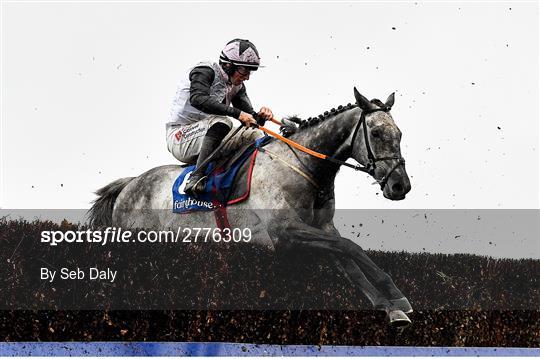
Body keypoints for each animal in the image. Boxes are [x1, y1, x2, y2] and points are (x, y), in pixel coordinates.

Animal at [88, 88, 414, 328]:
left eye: (399, 133)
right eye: (376, 133)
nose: (400, 186)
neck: (303, 167)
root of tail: (129, 184)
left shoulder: (320, 229)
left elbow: (349, 260)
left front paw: (391, 308)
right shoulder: (285, 232)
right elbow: (350, 246)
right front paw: (396, 296)